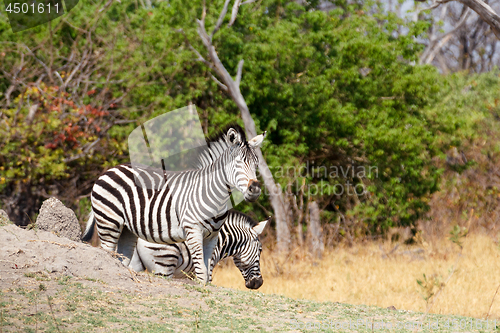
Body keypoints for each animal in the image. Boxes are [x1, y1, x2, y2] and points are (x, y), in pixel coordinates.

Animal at [82, 123, 266, 282]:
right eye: (260, 250)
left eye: (257, 164)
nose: (255, 189)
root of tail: (110, 169)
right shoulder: (194, 232)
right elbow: (202, 273)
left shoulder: (211, 237)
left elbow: (206, 274)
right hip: (112, 225)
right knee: (107, 252)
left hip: (128, 231)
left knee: (122, 259)